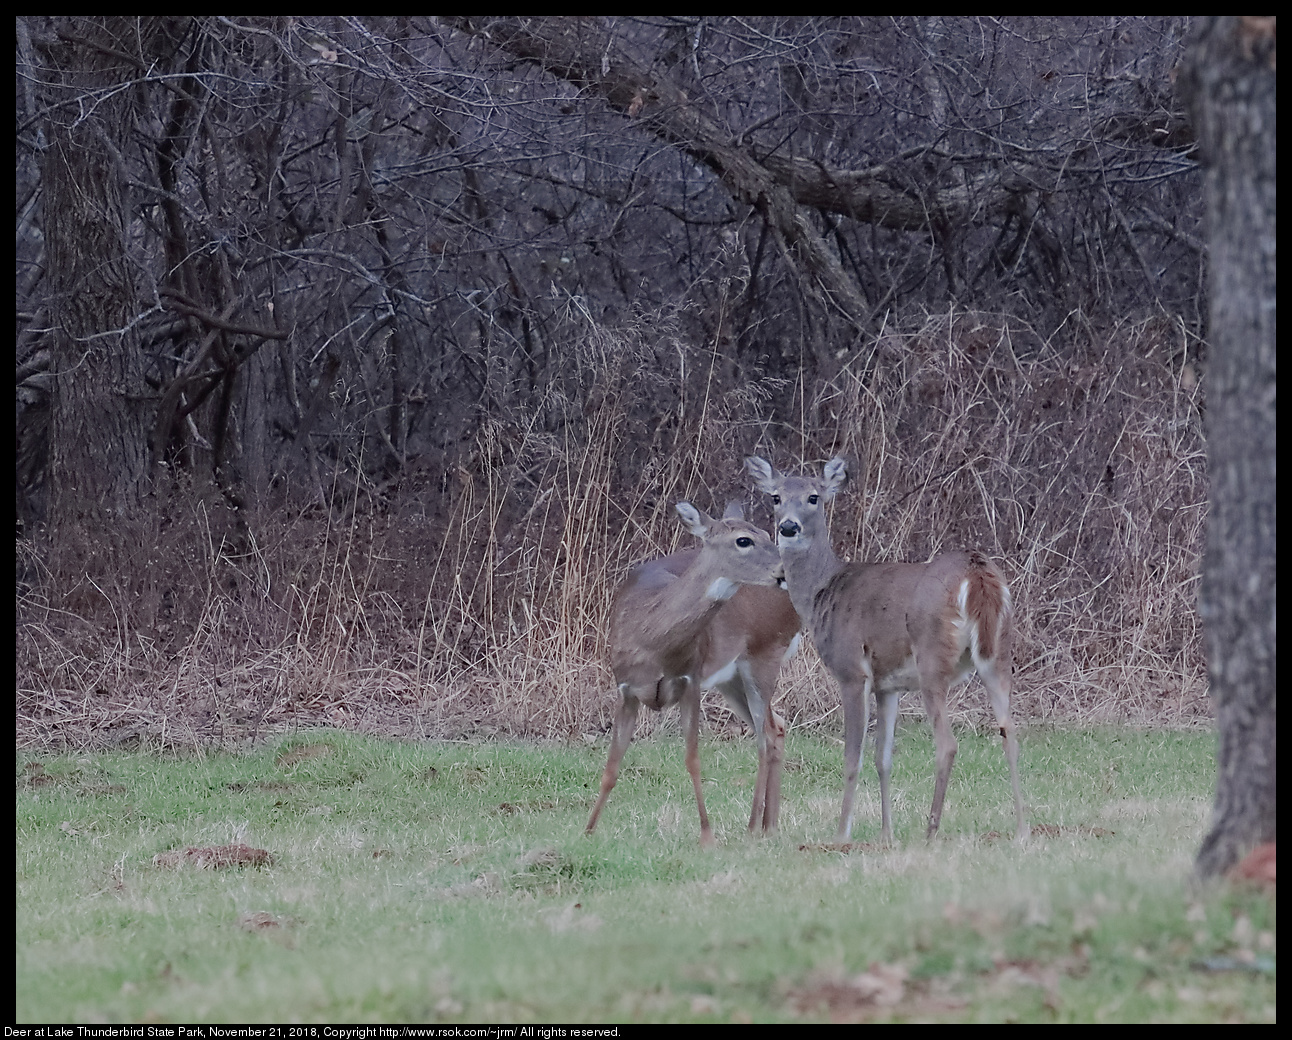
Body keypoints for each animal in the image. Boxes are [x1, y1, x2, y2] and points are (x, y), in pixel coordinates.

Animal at [586, 498, 795, 847]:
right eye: (743, 540)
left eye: (769, 533)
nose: (783, 569)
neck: (651, 639)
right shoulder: (625, 687)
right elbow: (612, 765)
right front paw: (588, 830)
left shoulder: (691, 679)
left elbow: (692, 759)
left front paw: (707, 835)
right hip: (731, 677)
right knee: (775, 725)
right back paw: (769, 825)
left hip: (765, 652)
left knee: (765, 734)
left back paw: (754, 826)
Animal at [749, 454, 1028, 842]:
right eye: (775, 497)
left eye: (813, 497)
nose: (788, 527)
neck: (822, 591)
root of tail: (977, 573)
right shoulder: (888, 685)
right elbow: (884, 758)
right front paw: (887, 834)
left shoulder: (852, 670)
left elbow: (853, 757)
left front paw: (842, 834)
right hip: (998, 653)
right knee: (1010, 731)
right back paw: (1022, 830)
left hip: (932, 658)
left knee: (948, 744)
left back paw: (930, 831)